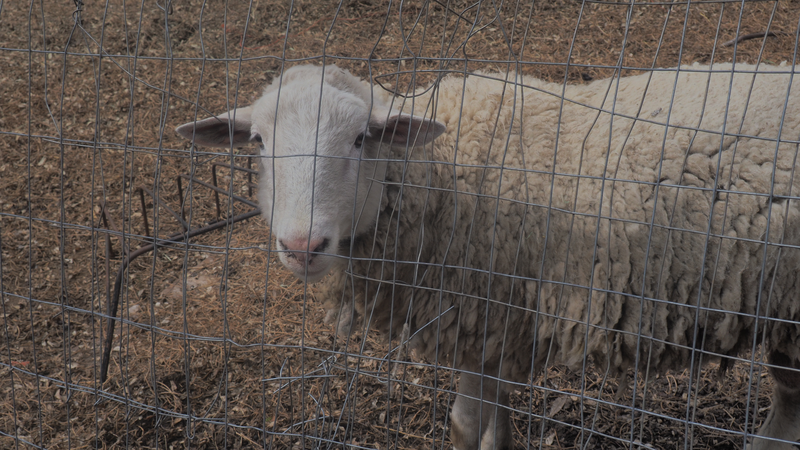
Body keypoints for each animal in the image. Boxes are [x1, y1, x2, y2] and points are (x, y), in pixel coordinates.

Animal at [176, 63, 800, 450]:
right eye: (259, 142)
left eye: (359, 139)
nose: (302, 246)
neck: (442, 172)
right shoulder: (498, 325)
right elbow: (498, 425)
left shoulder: (482, 310)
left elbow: (463, 425)